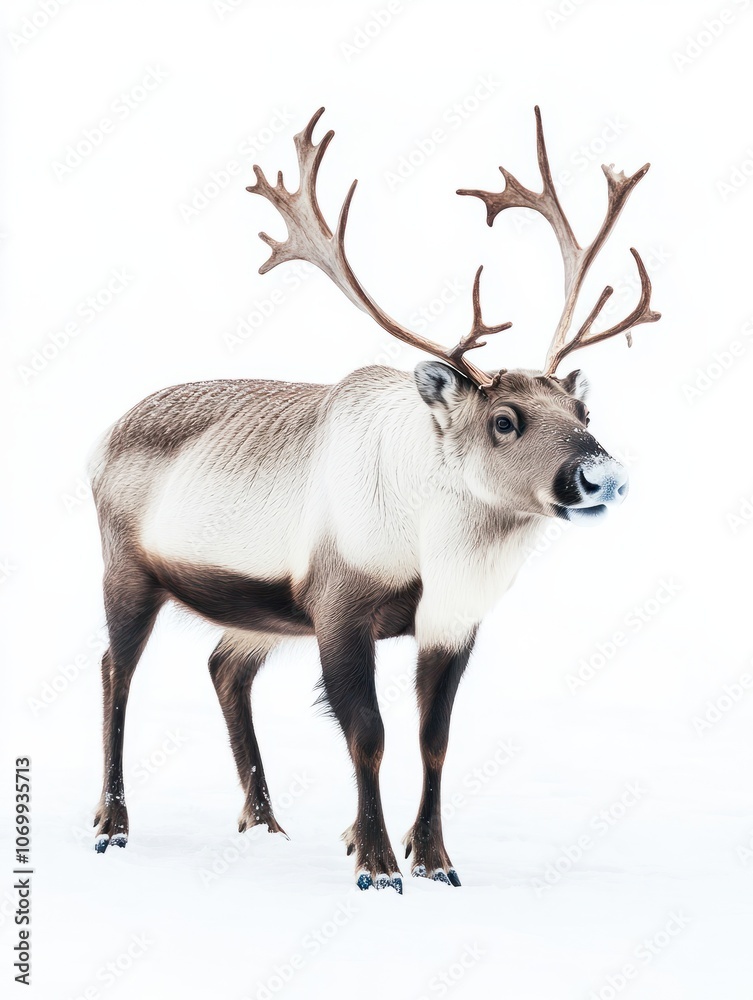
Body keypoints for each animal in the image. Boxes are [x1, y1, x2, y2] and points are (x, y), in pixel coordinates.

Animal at [89, 107, 659, 893]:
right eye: (504, 419)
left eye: (582, 410)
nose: (602, 474)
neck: (437, 552)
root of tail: (100, 440)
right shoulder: (338, 606)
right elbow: (368, 735)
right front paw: (378, 862)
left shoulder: (452, 624)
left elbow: (433, 740)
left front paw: (435, 860)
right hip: (127, 571)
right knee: (116, 670)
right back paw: (112, 822)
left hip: (259, 614)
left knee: (224, 669)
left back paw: (264, 823)